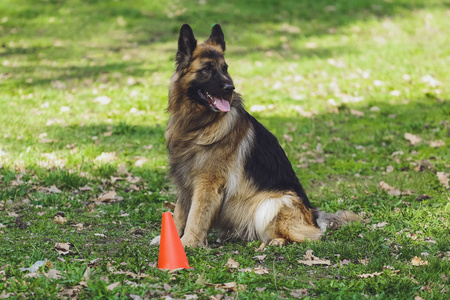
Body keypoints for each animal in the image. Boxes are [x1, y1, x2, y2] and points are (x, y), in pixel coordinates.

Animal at [151, 24, 358, 248]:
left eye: (225, 68)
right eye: (207, 69)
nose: (230, 88)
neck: (198, 124)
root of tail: (315, 216)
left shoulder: (207, 183)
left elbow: (195, 217)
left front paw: (187, 243)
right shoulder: (185, 179)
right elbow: (180, 212)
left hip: (272, 203)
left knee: (308, 235)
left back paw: (277, 241)